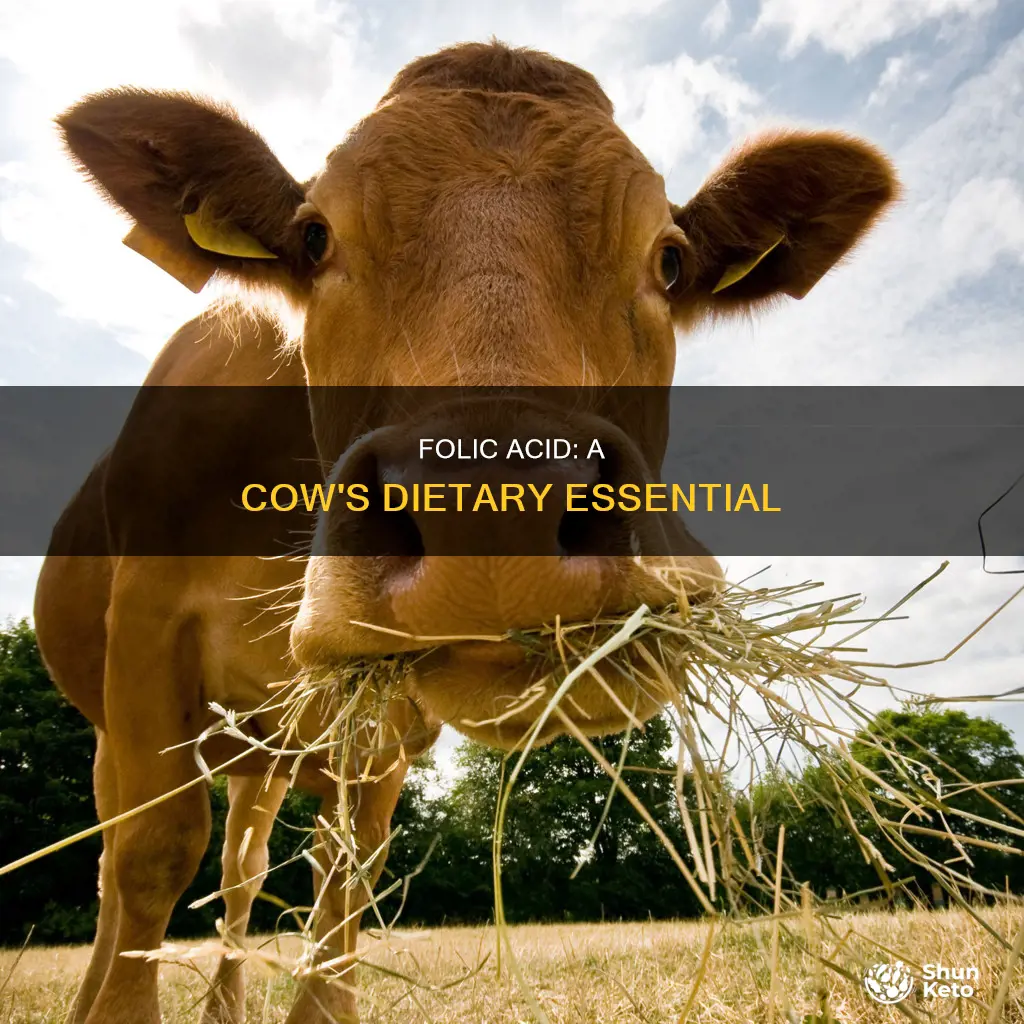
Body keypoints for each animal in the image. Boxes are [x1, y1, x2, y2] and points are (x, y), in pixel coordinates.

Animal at [33, 40, 897, 1024]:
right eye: (314, 238)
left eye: (671, 261)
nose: (493, 521)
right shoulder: (143, 633)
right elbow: (151, 850)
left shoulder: (380, 726)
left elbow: (345, 878)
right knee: (125, 864)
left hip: (268, 753)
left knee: (246, 869)